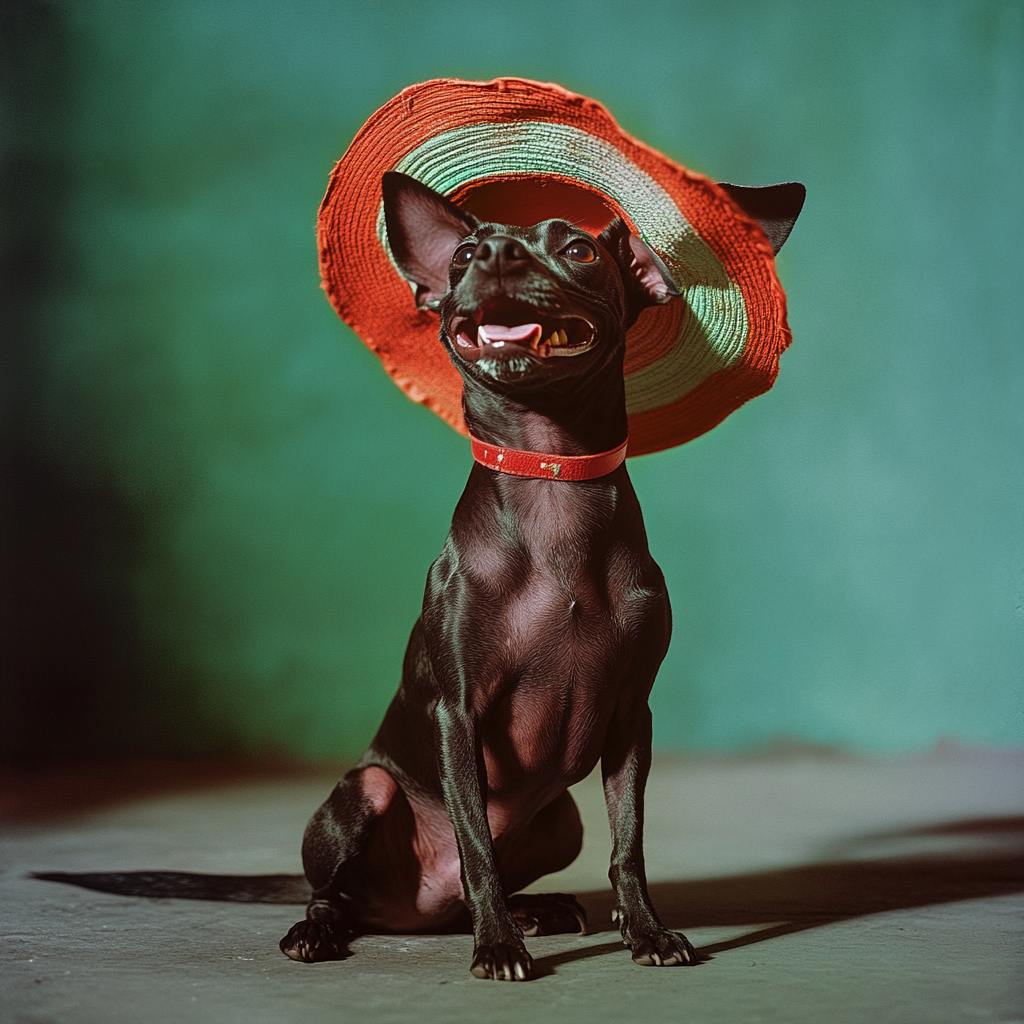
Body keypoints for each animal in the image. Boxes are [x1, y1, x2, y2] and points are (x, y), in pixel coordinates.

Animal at [278, 172, 798, 978]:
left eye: (579, 249)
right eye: (462, 255)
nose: (493, 254)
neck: (554, 481)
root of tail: (409, 908)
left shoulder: (632, 716)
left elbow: (629, 845)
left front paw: (645, 931)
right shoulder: (456, 714)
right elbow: (476, 844)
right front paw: (499, 947)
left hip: (562, 819)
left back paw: (539, 909)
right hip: (368, 790)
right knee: (340, 891)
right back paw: (327, 930)